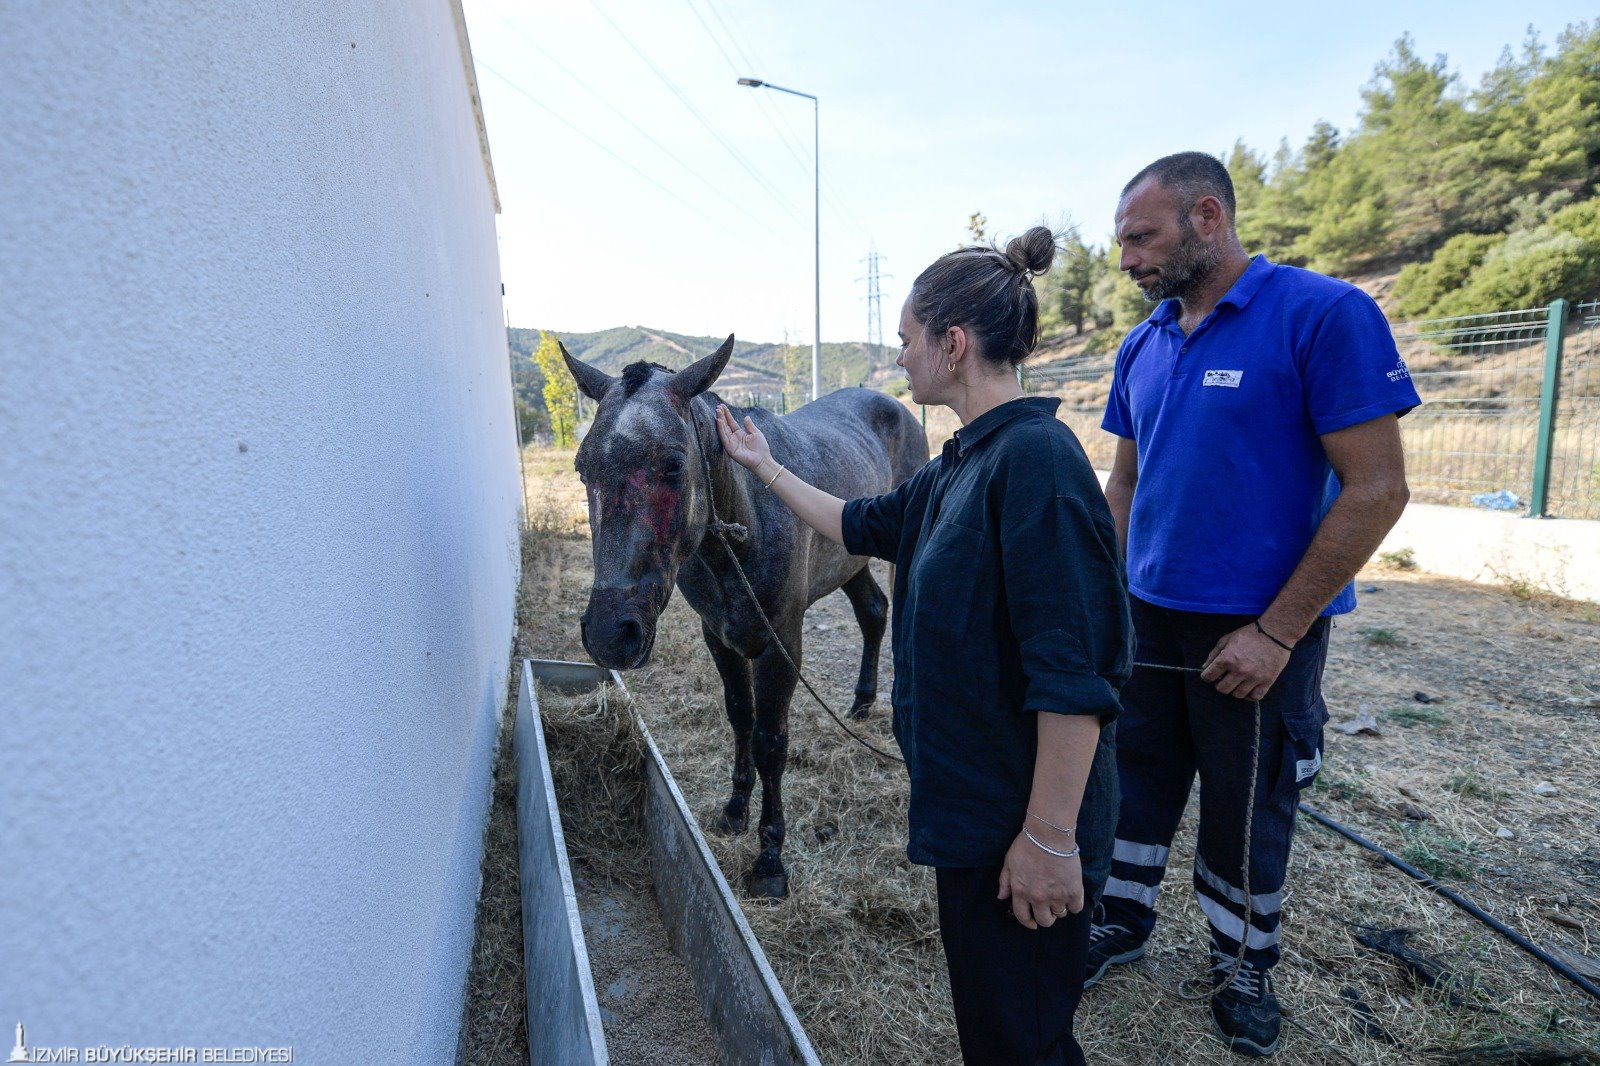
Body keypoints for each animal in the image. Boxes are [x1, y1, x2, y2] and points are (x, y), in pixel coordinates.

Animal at [569, 336, 934, 889]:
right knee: (872, 611)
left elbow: (770, 741)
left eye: (673, 464)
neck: (743, 534)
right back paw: (861, 703)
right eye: (582, 465)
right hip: (849, 558)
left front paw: (770, 857)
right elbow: (740, 716)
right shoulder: (719, 636)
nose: (611, 634)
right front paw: (735, 810)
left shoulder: (780, 644)